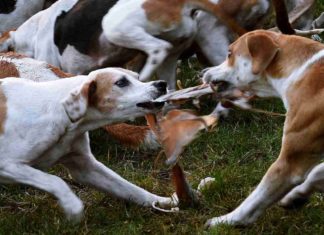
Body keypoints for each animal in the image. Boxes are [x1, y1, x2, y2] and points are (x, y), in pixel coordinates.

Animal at [0, 65, 180, 221]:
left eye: (137, 77)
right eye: (121, 82)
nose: (162, 84)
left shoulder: (85, 167)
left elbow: (133, 189)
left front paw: (163, 201)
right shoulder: (8, 165)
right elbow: (56, 181)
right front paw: (73, 206)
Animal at [202, 29, 324, 228]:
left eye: (229, 53)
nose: (204, 72)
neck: (299, 71)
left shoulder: (288, 164)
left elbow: (255, 199)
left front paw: (225, 221)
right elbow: (317, 172)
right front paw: (296, 196)